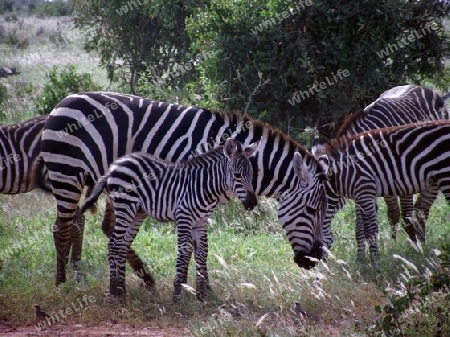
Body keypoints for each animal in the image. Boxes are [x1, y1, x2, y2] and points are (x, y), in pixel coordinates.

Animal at [79, 138, 258, 300]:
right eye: (237, 175)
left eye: (251, 175)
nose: (253, 203)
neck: (204, 186)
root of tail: (115, 165)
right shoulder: (184, 217)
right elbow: (183, 254)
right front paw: (177, 294)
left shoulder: (201, 223)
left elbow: (202, 254)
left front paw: (202, 295)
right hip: (125, 207)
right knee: (114, 245)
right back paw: (113, 292)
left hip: (137, 213)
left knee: (122, 245)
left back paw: (122, 291)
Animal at [312, 119, 450, 262]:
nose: (312, 263)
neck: (343, 173)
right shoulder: (364, 195)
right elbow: (363, 228)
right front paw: (363, 259)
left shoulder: (364, 190)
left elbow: (370, 229)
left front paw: (375, 261)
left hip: (445, 174)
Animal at [336, 84, 448, 242]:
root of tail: (419, 86)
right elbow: (390, 214)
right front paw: (393, 243)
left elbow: (406, 214)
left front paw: (413, 245)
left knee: (421, 208)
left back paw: (421, 240)